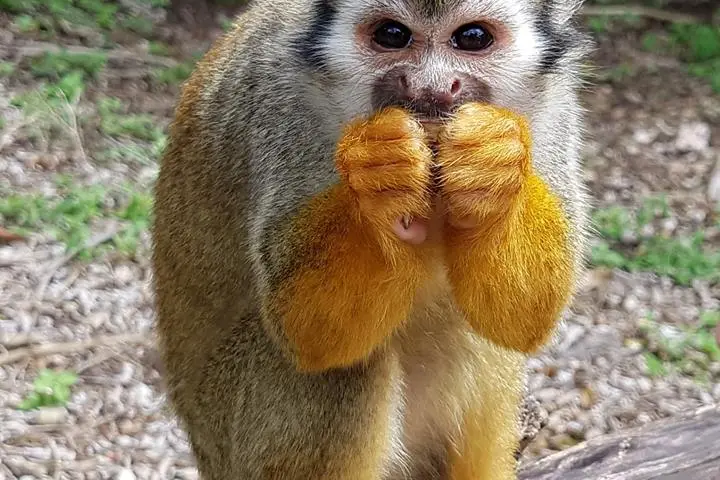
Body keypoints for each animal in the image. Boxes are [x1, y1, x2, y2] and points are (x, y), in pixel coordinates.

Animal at [151, 0, 592, 478]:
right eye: (391, 35)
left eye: (473, 38)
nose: (429, 87)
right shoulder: (277, 102)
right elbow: (309, 336)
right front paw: (382, 173)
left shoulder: (555, 102)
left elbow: (522, 318)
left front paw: (491, 163)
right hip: (229, 440)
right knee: (348, 367)